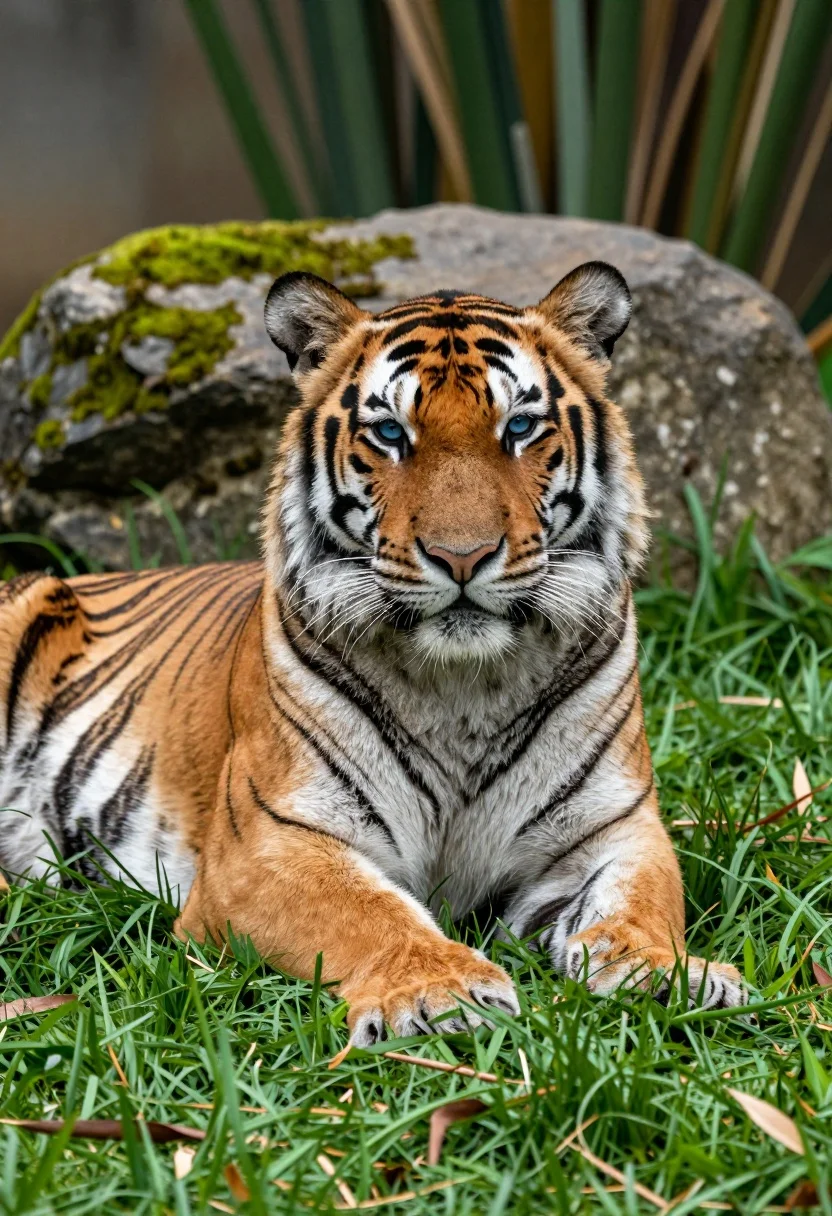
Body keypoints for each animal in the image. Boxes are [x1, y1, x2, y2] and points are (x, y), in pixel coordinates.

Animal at [0, 262, 744, 1040]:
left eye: (518, 427)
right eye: (390, 432)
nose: (461, 556)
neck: (464, 690)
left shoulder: (616, 831)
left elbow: (640, 904)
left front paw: (664, 973)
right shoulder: (270, 843)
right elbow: (371, 913)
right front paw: (440, 990)